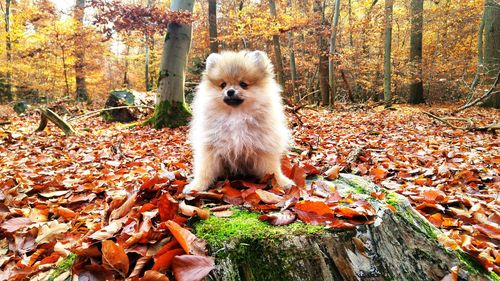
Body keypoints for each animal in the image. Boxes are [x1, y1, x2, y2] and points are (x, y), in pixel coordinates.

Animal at [183, 50, 292, 194]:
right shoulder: (210, 148)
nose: (230, 91)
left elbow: (272, 170)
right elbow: (205, 170)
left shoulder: (264, 148)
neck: (236, 115)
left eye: (243, 84)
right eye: (223, 85)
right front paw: (197, 186)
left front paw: (280, 182)